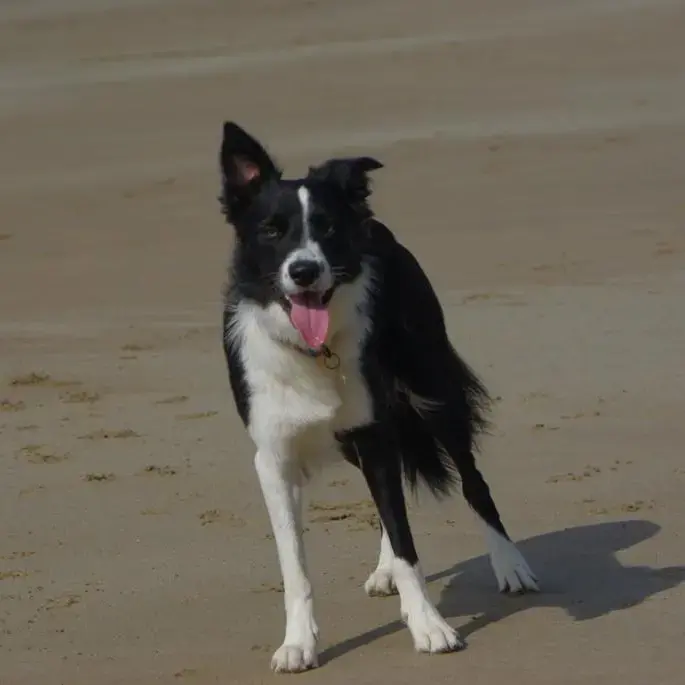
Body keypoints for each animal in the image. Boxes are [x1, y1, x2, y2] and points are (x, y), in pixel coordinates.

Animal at [219, 120, 540, 672]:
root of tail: (379, 228)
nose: (304, 271)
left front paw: (430, 628)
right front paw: (298, 643)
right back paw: (385, 569)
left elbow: (410, 542)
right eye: (272, 231)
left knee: (473, 482)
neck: (315, 349)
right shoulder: (276, 456)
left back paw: (510, 564)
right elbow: (294, 564)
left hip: (433, 391)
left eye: (326, 228)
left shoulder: (373, 433)